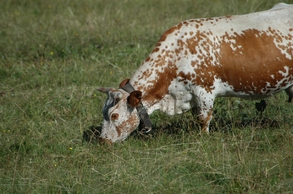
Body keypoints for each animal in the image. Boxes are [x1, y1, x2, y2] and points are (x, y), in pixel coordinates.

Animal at [97, 2, 292, 143]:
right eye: (103, 113)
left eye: (114, 115)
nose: (103, 141)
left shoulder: (205, 90)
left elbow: (203, 118)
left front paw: (203, 138)